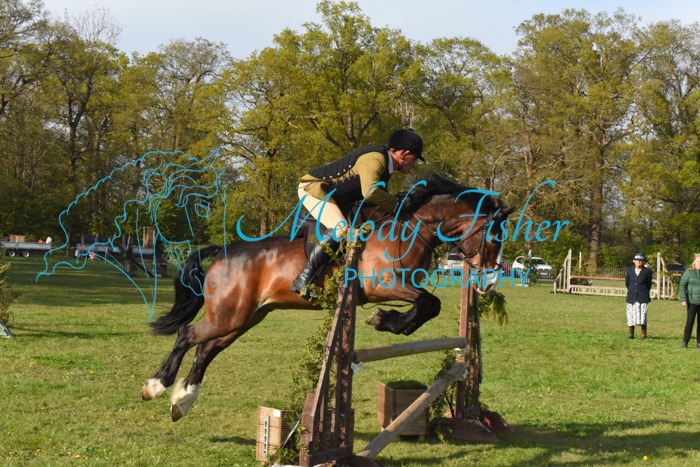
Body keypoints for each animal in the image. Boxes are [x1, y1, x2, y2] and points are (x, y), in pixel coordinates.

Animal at [142, 173, 514, 421]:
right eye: (493, 238)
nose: (489, 283)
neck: (411, 229)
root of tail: (222, 251)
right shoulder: (384, 285)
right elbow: (427, 303)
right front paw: (385, 320)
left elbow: (428, 305)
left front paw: (389, 321)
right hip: (230, 315)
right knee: (187, 335)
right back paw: (157, 386)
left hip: (242, 319)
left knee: (206, 349)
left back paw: (182, 401)